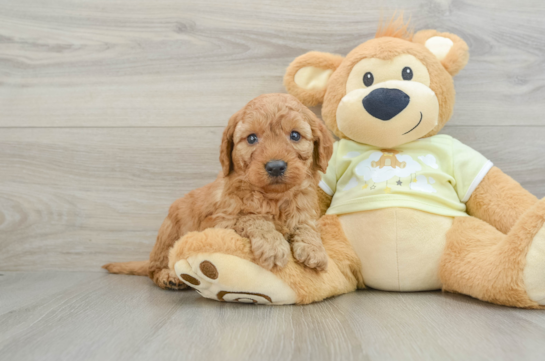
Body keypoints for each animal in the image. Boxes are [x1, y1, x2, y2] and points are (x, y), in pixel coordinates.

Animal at [101, 93, 332, 290]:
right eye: (251, 138)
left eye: (295, 135)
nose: (275, 166)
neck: (273, 198)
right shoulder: (218, 222)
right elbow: (251, 217)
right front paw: (273, 245)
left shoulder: (304, 211)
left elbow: (307, 226)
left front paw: (314, 249)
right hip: (169, 232)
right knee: (154, 269)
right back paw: (169, 276)